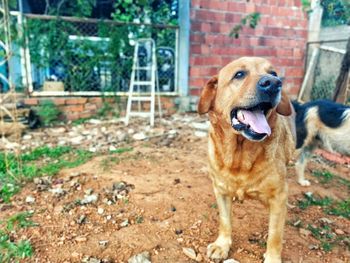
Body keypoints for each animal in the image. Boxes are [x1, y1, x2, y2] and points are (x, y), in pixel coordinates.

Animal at [198, 56, 294, 262]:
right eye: (239, 74)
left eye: (273, 73)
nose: (274, 83)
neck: (240, 156)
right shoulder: (220, 190)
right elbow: (225, 220)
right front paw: (222, 245)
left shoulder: (279, 197)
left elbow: (275, 235)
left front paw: (273, 258)